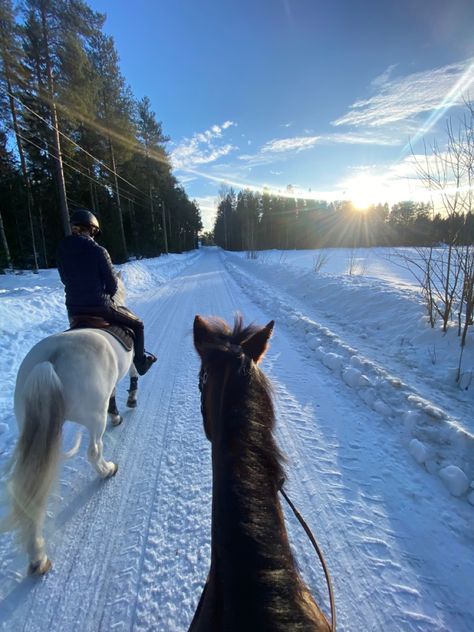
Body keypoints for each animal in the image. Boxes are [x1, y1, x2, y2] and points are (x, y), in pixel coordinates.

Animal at [3, 274, 138, 576]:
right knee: (93, 451)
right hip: (94, 418)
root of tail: (50, 360)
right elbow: (134, 374)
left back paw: (37, 557)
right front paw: (125, 407)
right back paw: (107, 470)